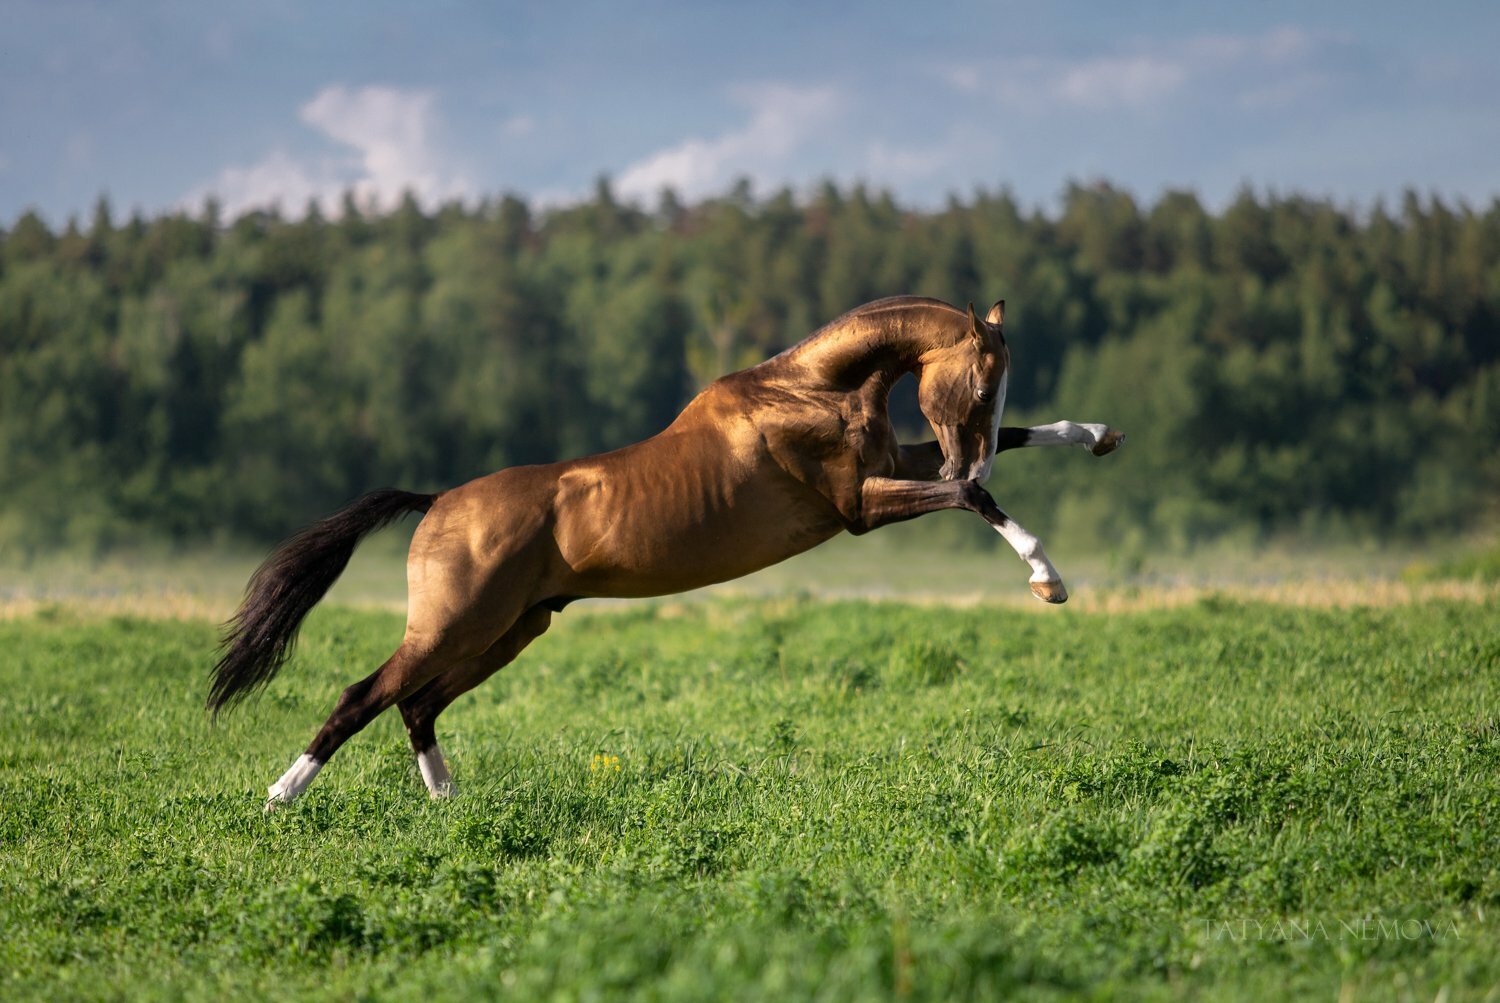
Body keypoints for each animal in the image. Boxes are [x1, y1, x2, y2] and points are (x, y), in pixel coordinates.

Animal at [214, 295, 1128, 803]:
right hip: (455, 623)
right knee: (363, 694)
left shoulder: (894, 468)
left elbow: (1018, 448)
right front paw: (1049, 580)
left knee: (416, 705)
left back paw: (447, 804)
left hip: (512, 628)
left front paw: (1098, 435)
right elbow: (975, 501)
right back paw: (280, 797)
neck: (810, 389)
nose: (961, 455)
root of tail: (437, 502)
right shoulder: (858, 506)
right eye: (980, 377)